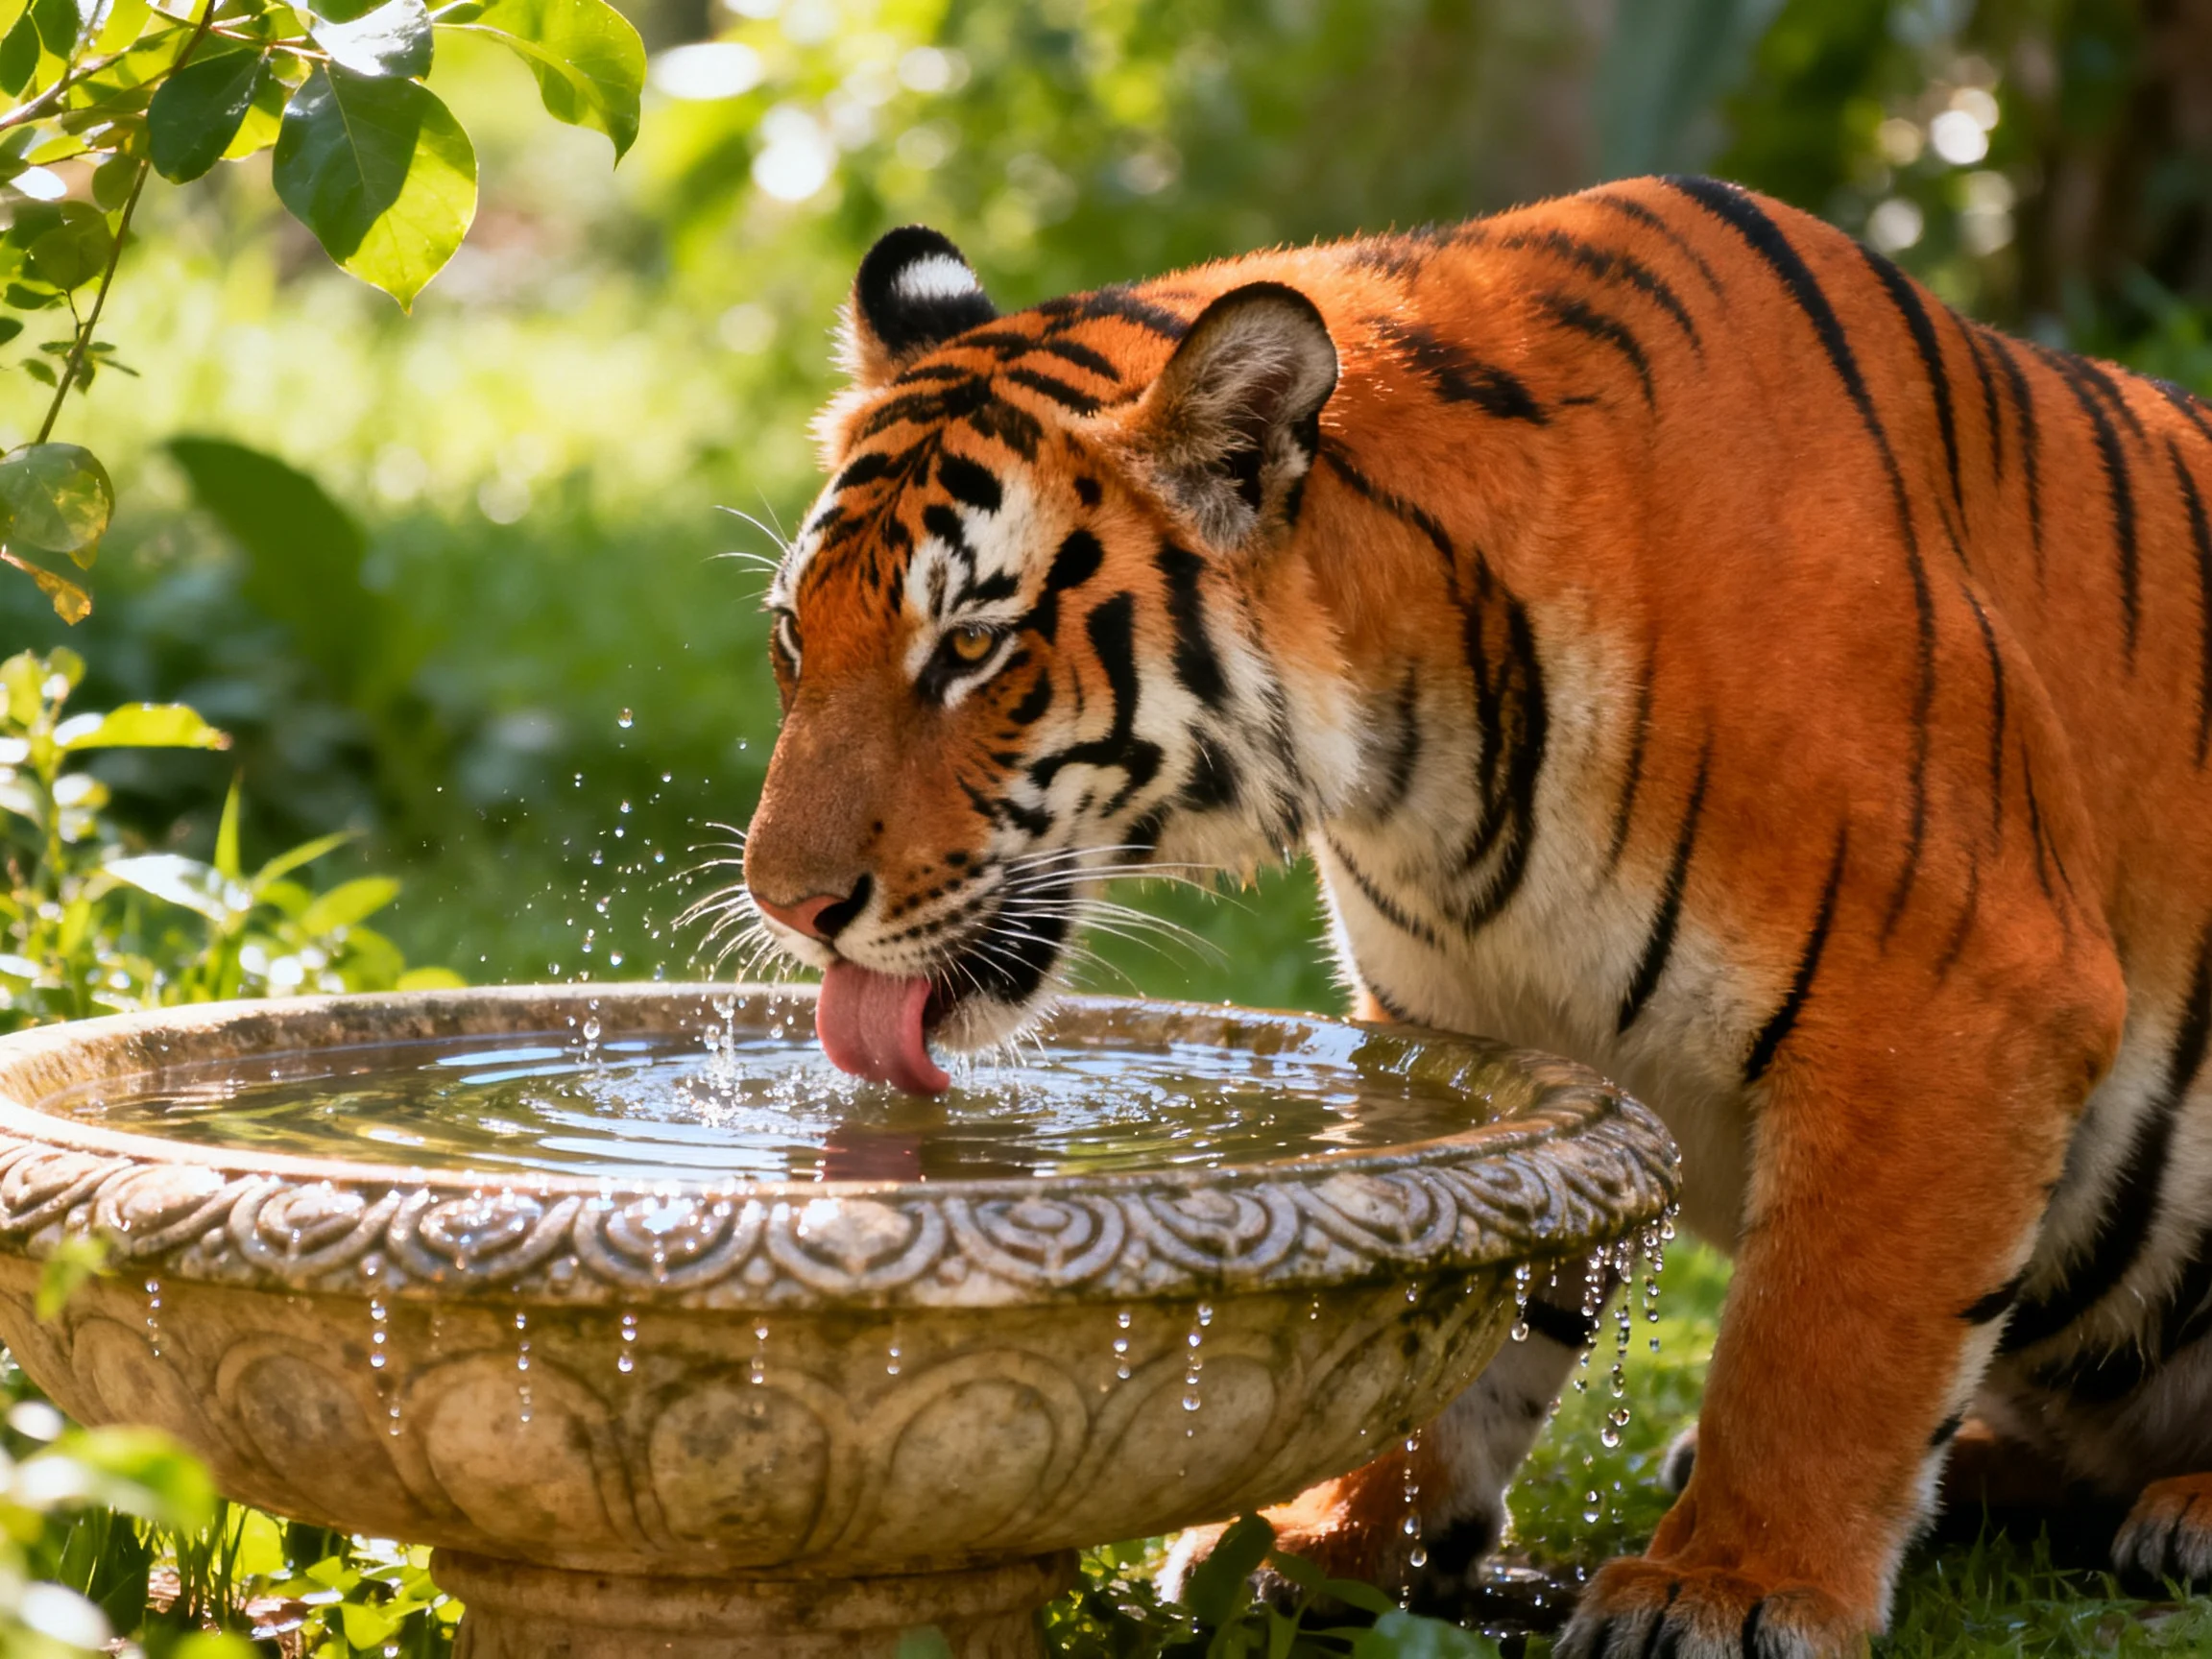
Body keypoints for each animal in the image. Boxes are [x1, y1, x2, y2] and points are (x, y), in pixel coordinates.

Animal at [736, 174, 2212, 1657]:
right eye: (793, 639)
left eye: (972, 649)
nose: (786, 904)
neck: (1420, 763)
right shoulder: (1481, 1037)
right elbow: (1458, 1289)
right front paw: (1325, 1544)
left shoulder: (1954, 997)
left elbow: (1825, 1341)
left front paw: (1729, 1590)